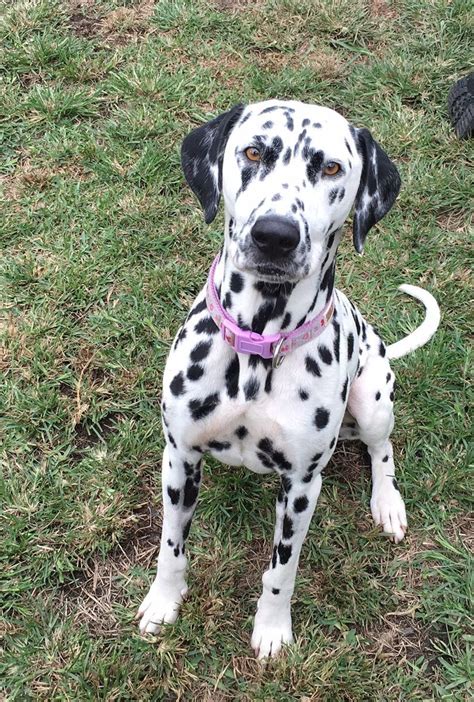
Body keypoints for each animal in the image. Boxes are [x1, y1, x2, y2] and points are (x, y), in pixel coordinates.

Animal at [137, 102, 440, 664]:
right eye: (255, 152)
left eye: (331, 168)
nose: (274, 235)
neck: (259, 347)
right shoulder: (179, 457)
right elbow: (171, 547)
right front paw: (163, 604)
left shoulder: (301, 487)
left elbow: (282, 569)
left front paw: (273, 629)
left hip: (373, 397)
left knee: (381, 449)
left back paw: (387, 503)